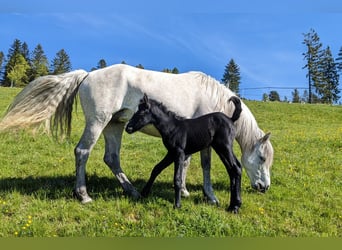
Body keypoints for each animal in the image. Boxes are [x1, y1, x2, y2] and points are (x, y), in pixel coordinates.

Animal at [0, 63, 272, 204]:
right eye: (261, 158)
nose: (264, 187)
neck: (214, 98)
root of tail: (87, 74)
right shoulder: (207, 140)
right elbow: (205, 164)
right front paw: (210, 196)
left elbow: (186, 163)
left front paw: (184, 190)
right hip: (97, 123)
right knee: (82, 152)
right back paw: (84, 195)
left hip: (114, 125)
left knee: (111, 158)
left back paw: (132, 191)